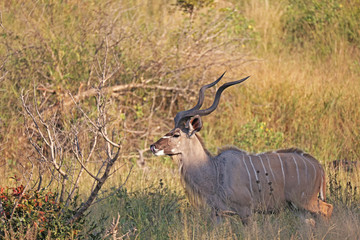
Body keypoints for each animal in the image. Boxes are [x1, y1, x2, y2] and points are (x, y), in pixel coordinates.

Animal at [149, 72, 332, 223]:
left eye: (176, 134)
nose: (153, 146)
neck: (215, 171)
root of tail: (318, 166)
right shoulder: (217, 214)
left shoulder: (246, 211)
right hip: (298, 207)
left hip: (306, 202)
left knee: (328, 209)